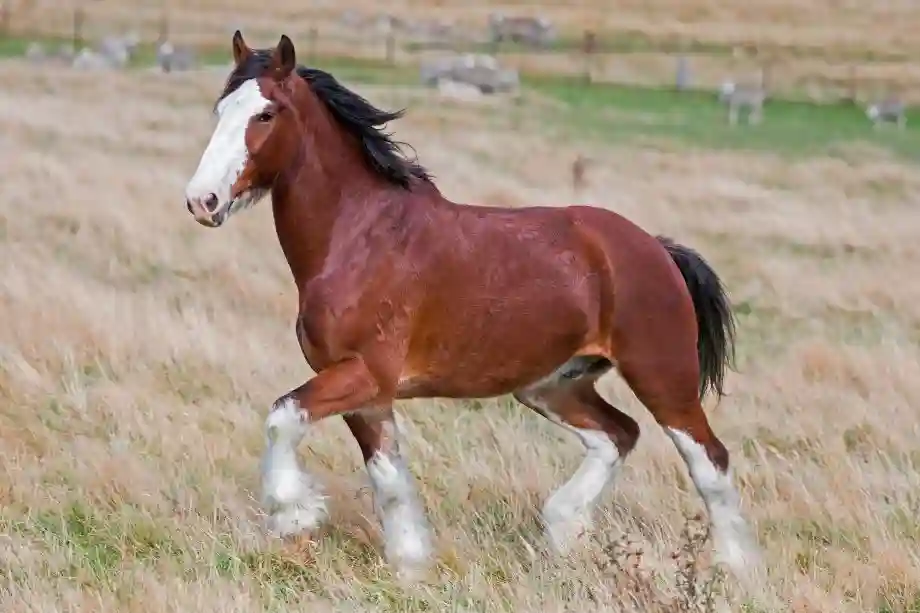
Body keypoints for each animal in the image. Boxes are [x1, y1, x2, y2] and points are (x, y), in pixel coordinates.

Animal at [181, 31, 760, 580]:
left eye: (265, 113)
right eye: (220, 110)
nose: (202, 201)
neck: (359, 236)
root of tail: (656, 248)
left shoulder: (364, 373)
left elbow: (283, 416)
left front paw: (294, 513)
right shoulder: (367, 394)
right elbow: (388, 477)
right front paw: (410, 566)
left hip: (662, 378)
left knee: (708, 460)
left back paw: (734, 569)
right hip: (552, 384)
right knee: (617, 435)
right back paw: (564, 531)